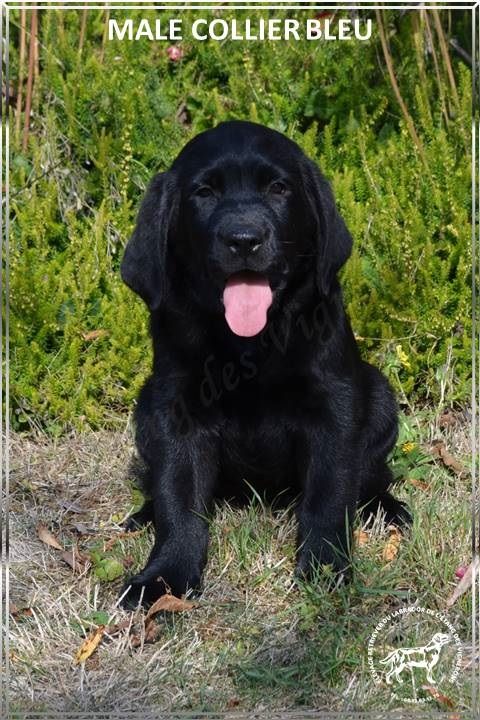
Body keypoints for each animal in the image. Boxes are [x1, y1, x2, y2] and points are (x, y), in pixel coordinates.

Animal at [120, 119, 408, 608]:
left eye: (278, 188)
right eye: (204, 192)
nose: (243, 240)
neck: (248, 344)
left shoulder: (334, 407)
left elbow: (329, 495)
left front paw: (325, 568)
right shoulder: (174, 412)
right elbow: (179, 497)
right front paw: (165, 577)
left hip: (379, 397)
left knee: (369, 474)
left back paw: (386, 509)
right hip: (145, 408)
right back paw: (143, 515)